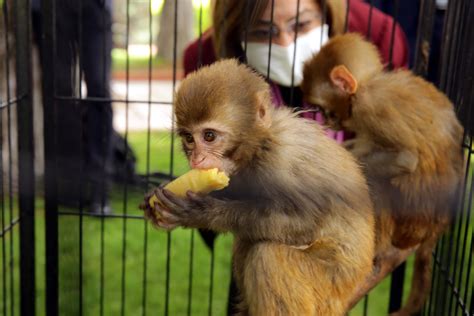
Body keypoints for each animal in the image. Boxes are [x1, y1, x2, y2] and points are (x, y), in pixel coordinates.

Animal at [139, 59, 376, 316]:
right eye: (189, 139)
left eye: (209, 136)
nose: (196, 159)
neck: (261, 145)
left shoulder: (281, 162)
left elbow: (305, 222)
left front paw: (202, 213)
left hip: (332, 283)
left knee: (268, 253)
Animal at [302, 33, 464, 314]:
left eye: (323, 108)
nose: (327, 121)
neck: (370, 83)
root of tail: (439, 225)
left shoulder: (369, 107)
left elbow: (406, 159)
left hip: (415, 218)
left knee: (380, 184)